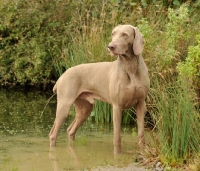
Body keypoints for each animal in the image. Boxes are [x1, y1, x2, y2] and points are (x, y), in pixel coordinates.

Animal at [49, 24, 150, 154]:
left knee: (70, 130)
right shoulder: (117, 106)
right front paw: (117, 154)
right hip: (64, 106)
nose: (110, 46)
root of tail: (62, 76)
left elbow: (141, 133)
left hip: (85, 109)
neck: (130, 67)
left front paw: (143, 150)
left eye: (125, 34)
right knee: (53, 133)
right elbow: (117, 135)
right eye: (113, 34)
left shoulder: (141, 104)